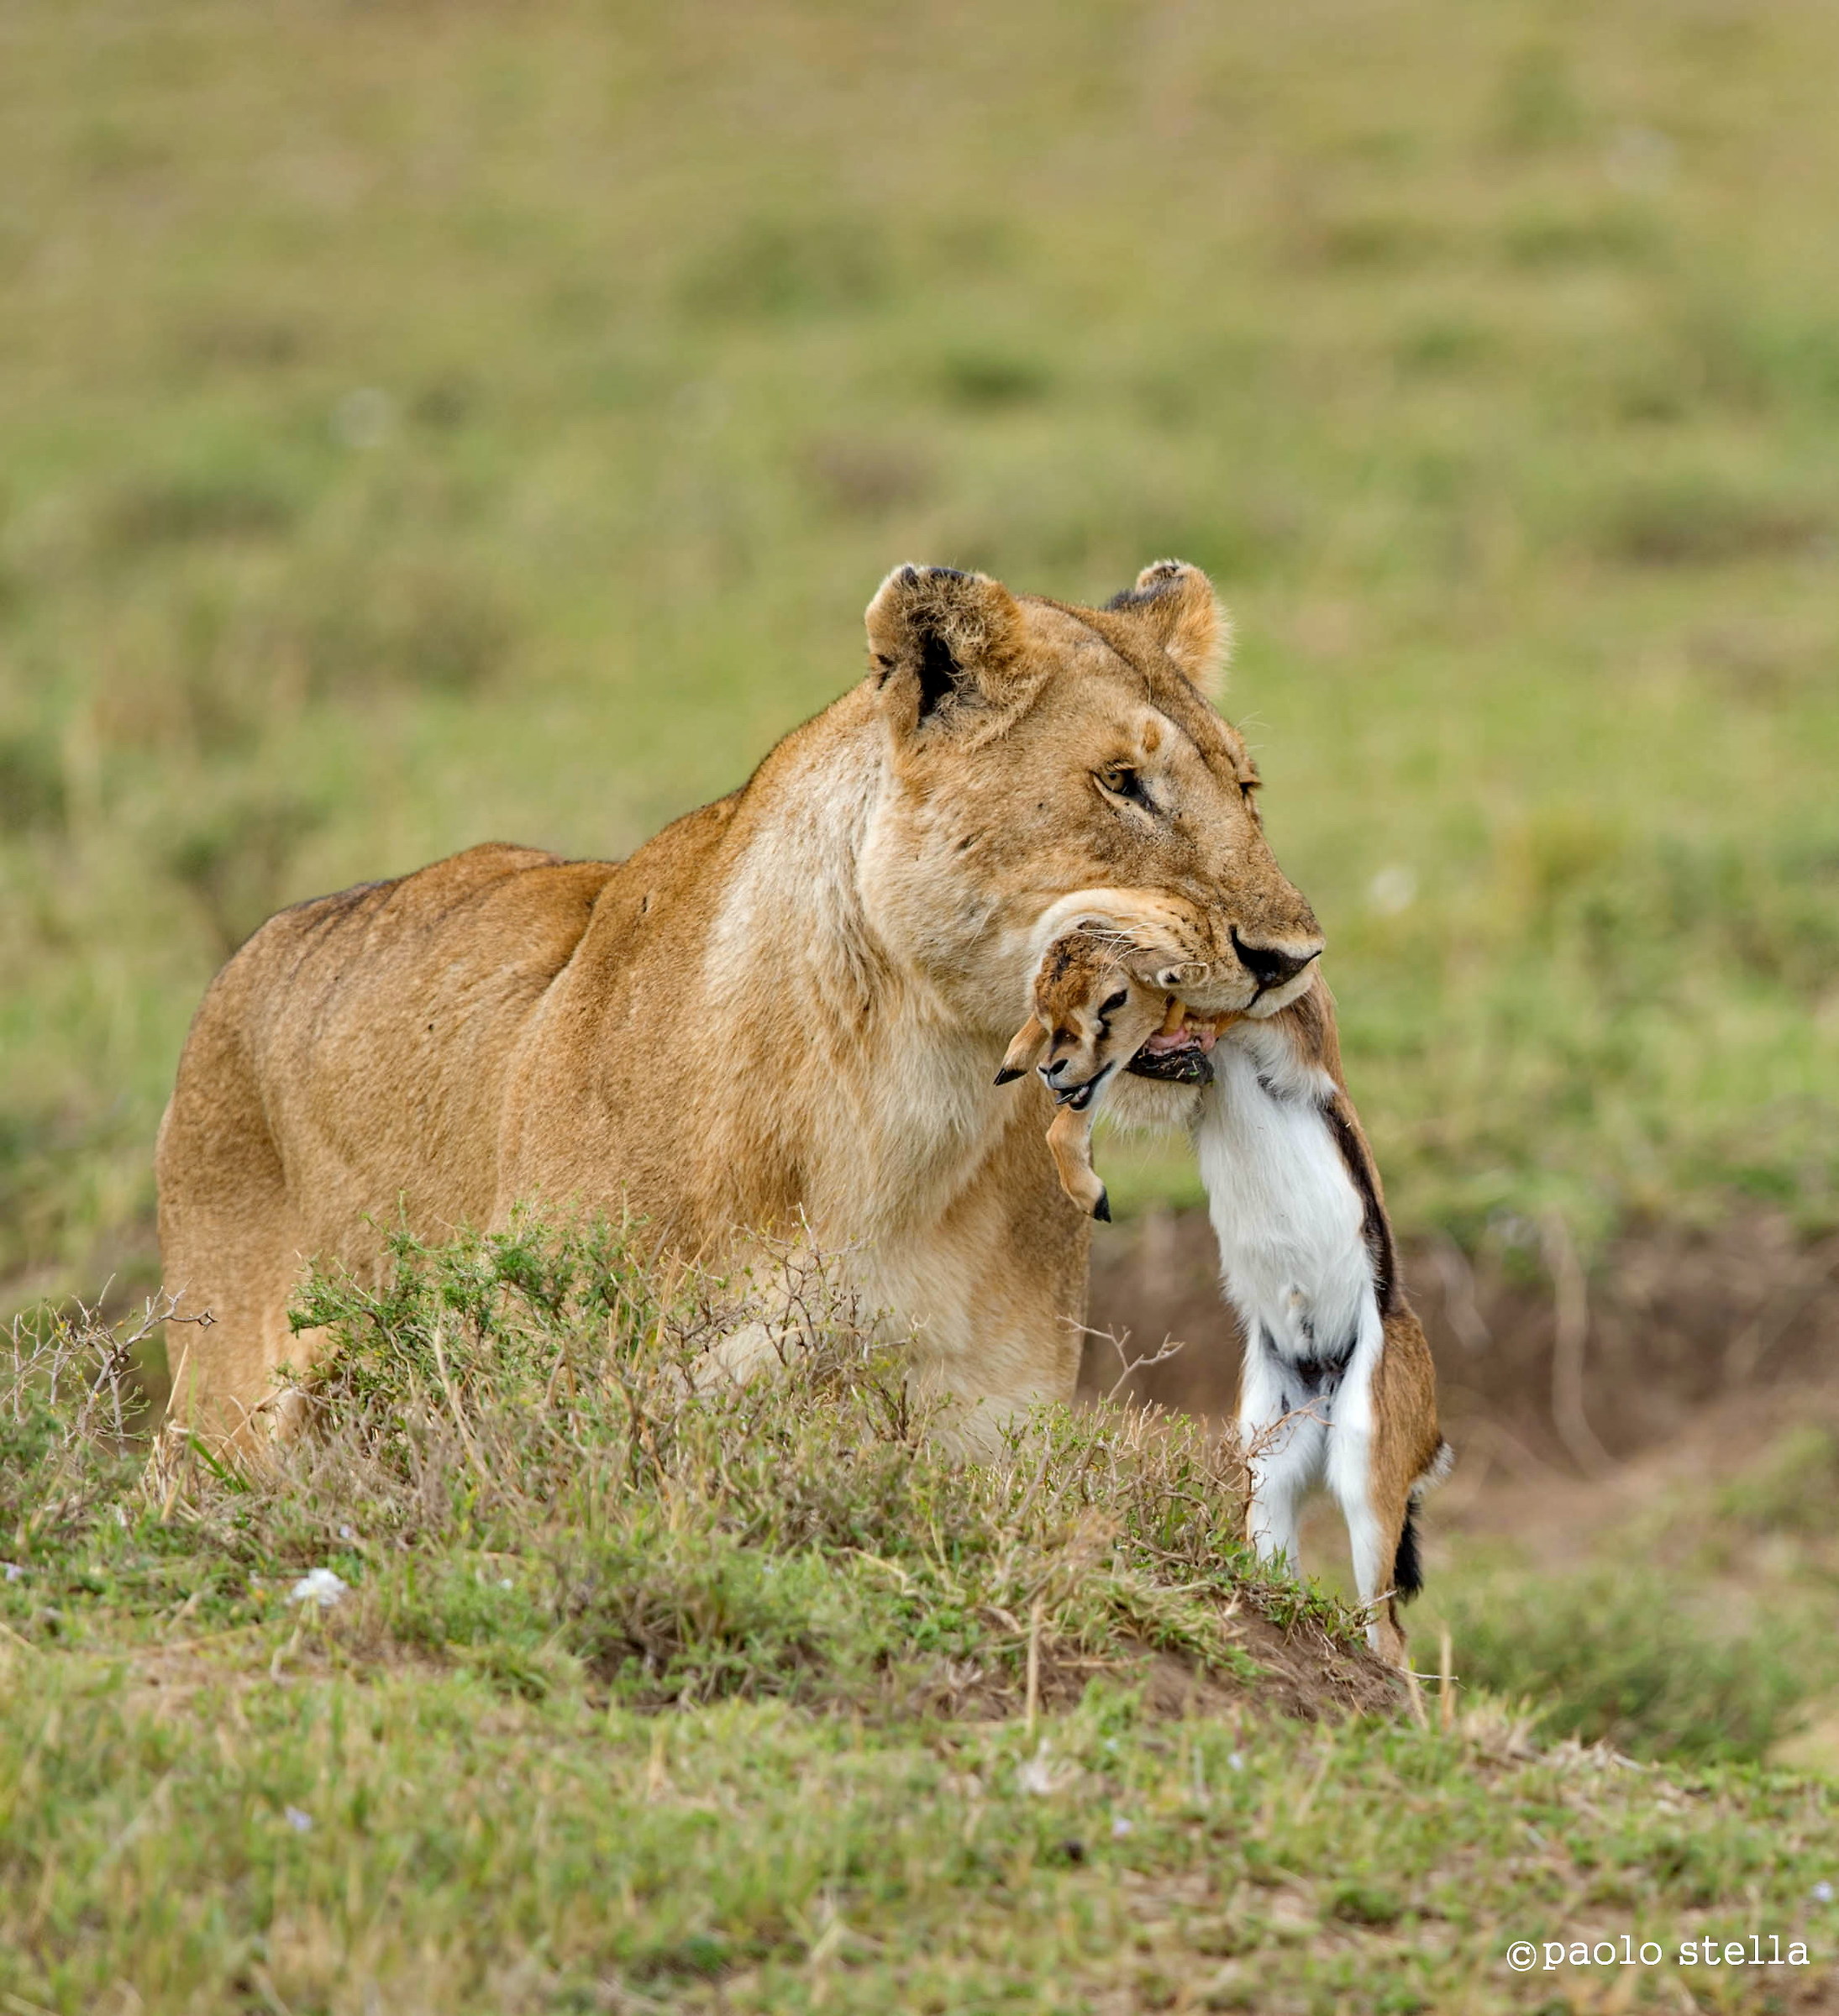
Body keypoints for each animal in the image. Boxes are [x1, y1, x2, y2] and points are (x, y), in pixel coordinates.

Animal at [156, 560, 1326, 1450]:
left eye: (1245, 789)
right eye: (1122, 782)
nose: (1291, 957)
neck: (907, 1110)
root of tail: (252, 950)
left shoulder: (983, 1423)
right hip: (222, 1404)